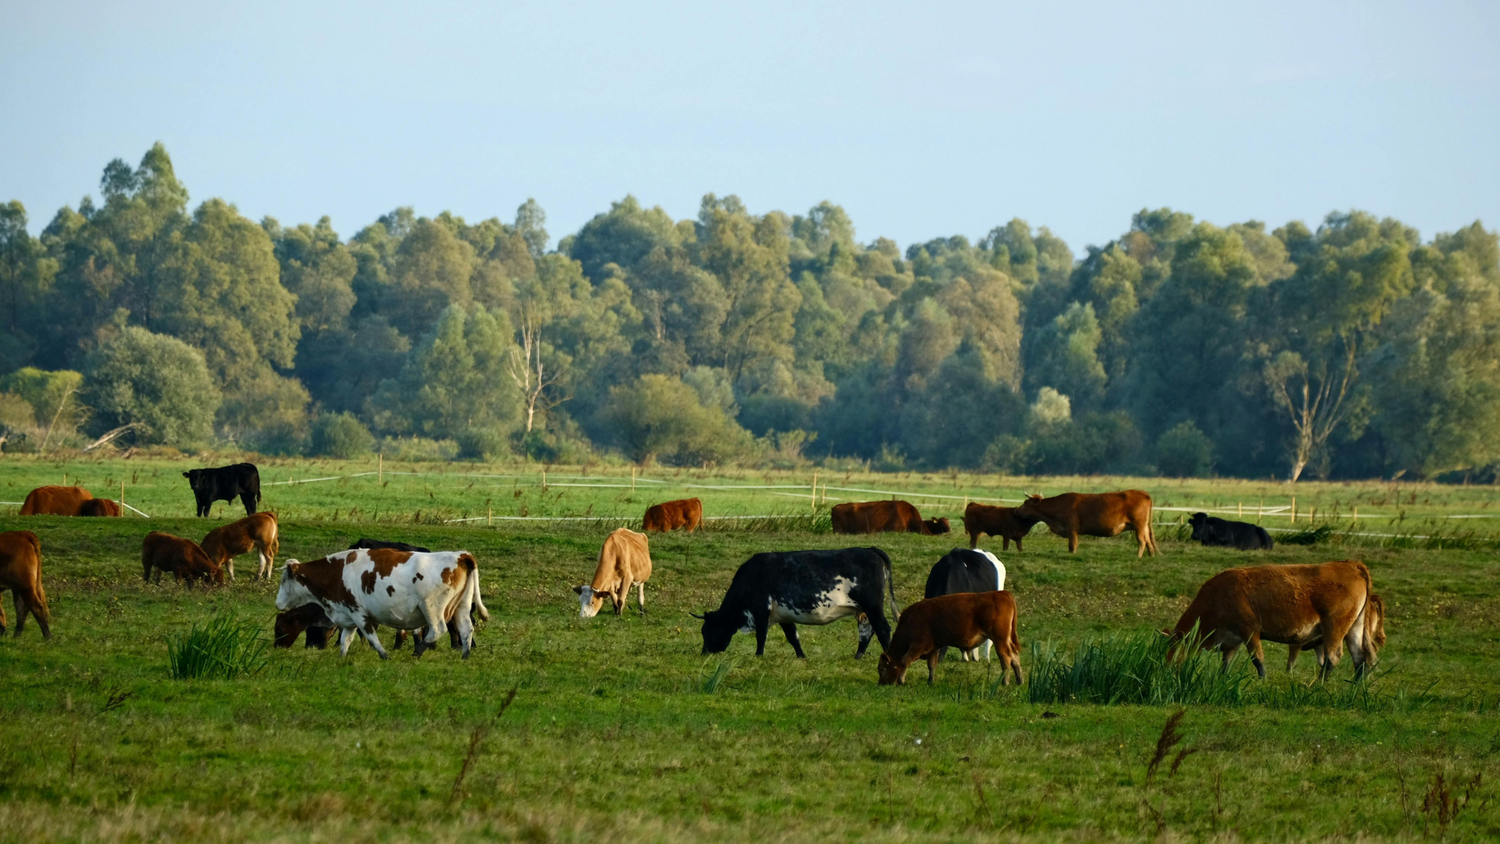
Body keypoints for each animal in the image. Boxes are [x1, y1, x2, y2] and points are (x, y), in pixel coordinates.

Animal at [275, 548, 489, 659]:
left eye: (283, 580)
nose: (277, 603)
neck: (336, 572)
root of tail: (461, 555)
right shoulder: (348, 614)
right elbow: (345, 639)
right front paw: (342, 658)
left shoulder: (358, 613)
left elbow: (371, 636)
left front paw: (384, 655)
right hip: (461, 605)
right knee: (466, 629)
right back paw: (465, 655)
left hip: (432, 607)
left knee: (437, 629)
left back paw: (417, 652)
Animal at [692, 547, 900, 659]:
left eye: (706, 630)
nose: (705, 652)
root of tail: (870, 550)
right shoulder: (784, 615)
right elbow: (793, 637)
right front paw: (802, 656)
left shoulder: (761, 609)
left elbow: (761, 636)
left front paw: (758, 656)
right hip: (863, 610)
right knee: (866, 632)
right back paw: (857, 657)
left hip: (873, 606)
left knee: (883, 629)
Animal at [877, 592, 1022, 686]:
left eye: (881, 669)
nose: (881, 684)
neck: (910, 621)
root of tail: (1002, 593)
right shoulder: (933, 647)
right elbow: (932, 665)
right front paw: (930, 681)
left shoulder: (918, 645)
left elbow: (905, 660)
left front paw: (901, 681)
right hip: (1007, 640)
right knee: (1014, 656)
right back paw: (1019, 680)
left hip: (1000, 639)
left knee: (1005, 658)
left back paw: (1005, 682)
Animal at [1014, 490, 1159, 557]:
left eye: (1025, 503)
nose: (1016, 510)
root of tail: (1143, 493)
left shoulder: (1072, 530)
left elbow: (1072, 546)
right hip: (1144, 527)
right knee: (1148, 541)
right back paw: (1151, 556)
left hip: (1139, 525)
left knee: (1142, 541)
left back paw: (1138, 556)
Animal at [1163, 561, 1386, 681]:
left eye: (1173, 647)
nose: (1166, 668)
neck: (1216, 598)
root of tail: (1351, 565)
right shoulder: (1232, 641)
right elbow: (1226, 664)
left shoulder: (1250, 631)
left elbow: (1258, 659)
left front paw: (1263, 681)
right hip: (1354, 628)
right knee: (1360, 658)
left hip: (1335, 626)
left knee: (1333, 657)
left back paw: (1318, 684)